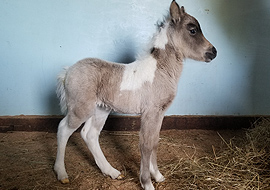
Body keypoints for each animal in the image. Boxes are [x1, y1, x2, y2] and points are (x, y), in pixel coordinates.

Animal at [53, 0, 216, 189]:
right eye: (192, 30)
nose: (213, 52)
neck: (160, 70)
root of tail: (67, 72)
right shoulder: (150, 112)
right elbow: (146, 144)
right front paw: (147, 182)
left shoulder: (160, 113)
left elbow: (155, 142)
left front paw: (158, 176)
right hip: (81, 108)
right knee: (63, 129)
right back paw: (62, 173)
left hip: (101, 109)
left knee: (90, 134)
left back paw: (112, 172)